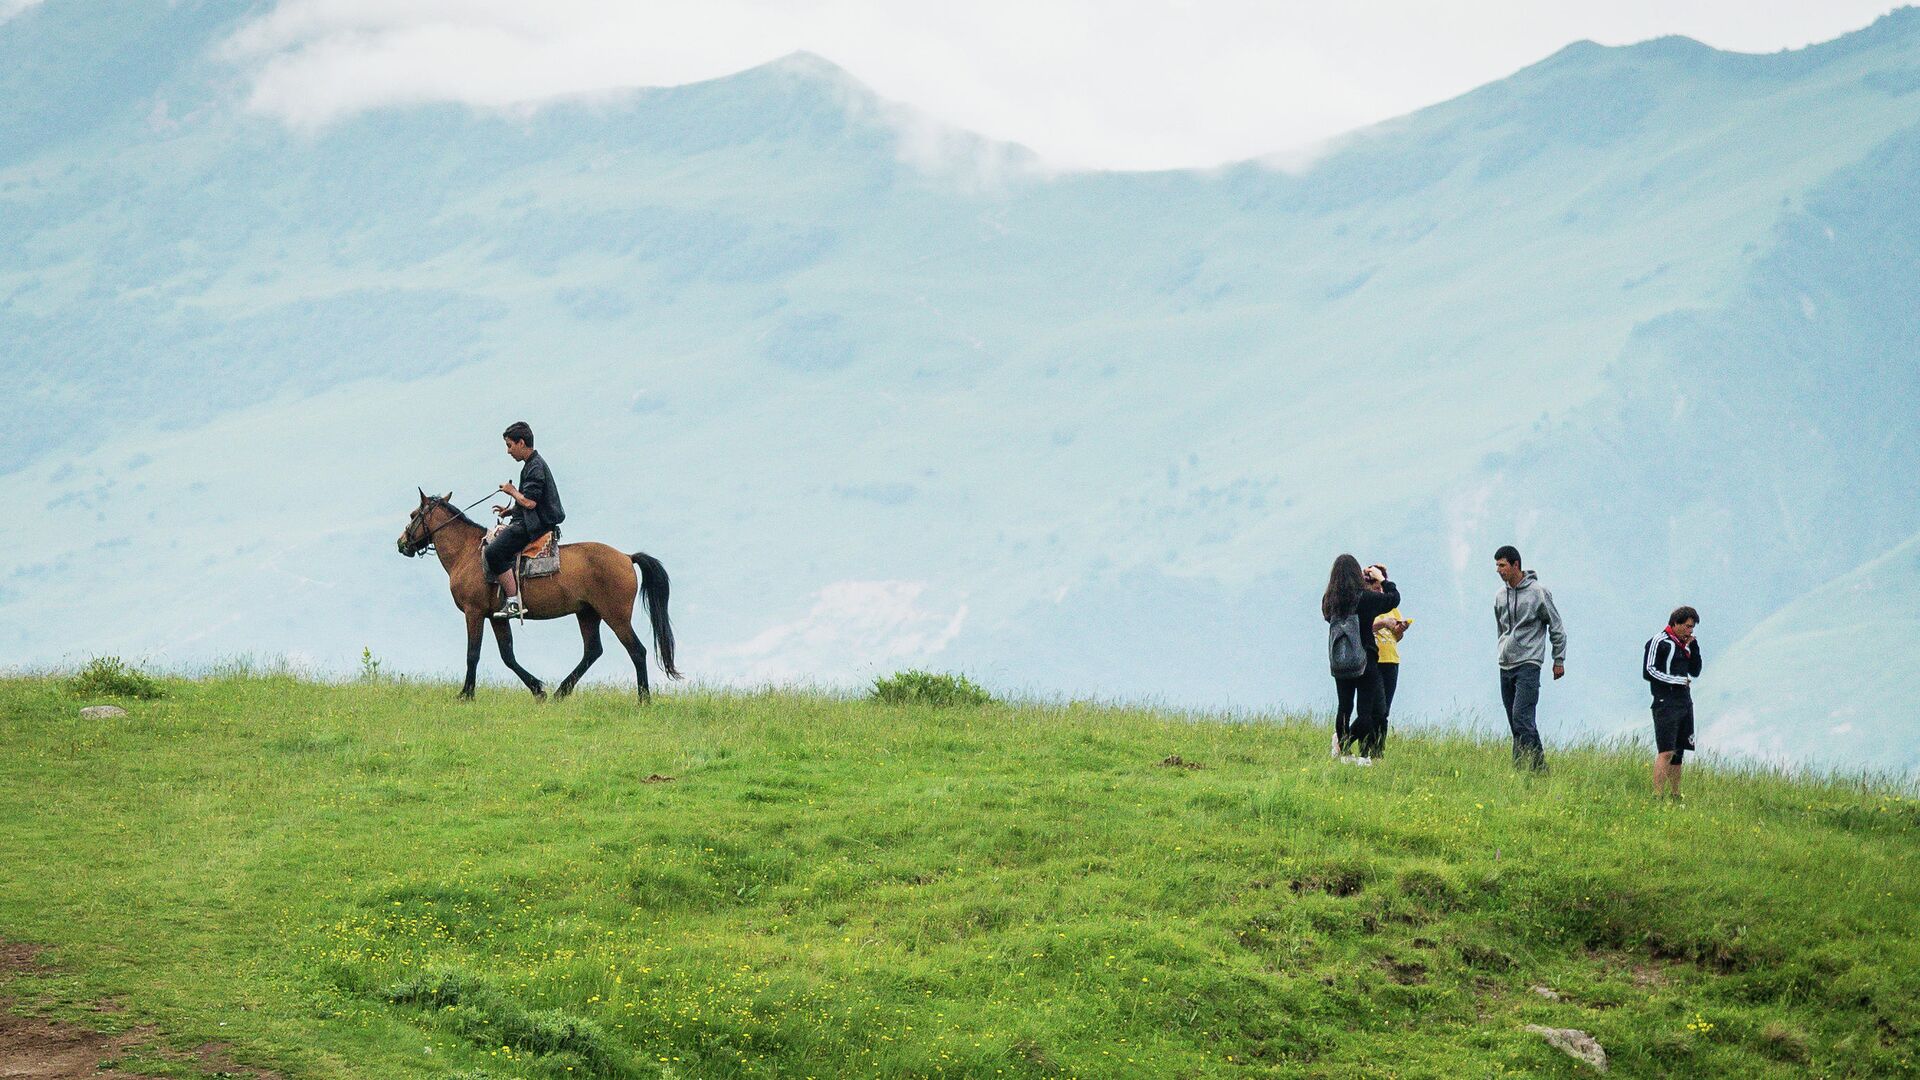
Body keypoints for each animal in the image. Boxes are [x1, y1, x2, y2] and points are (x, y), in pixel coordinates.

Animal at [397, 488, 683, 699]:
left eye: (413, 514)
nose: (402, 543)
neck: (468, 553)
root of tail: (626, 556)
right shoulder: (496, 617)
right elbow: (508, 655)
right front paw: (538, 689)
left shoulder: (474, 612)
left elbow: (473, 654)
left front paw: (466, 694)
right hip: (587, 613)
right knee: (592, 651)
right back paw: (560, 693)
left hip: (616, 616)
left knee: (637, 651)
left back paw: (643, 699)